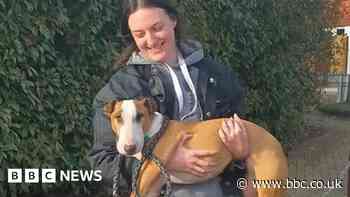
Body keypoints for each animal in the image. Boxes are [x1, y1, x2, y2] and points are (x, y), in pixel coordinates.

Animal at [104, 97, 290, 196]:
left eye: (140, 116)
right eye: (118, 117)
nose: (129, 148)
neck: (153, 132)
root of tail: (275, 142)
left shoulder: (143, 186)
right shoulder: (150, 190)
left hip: (269, 187)